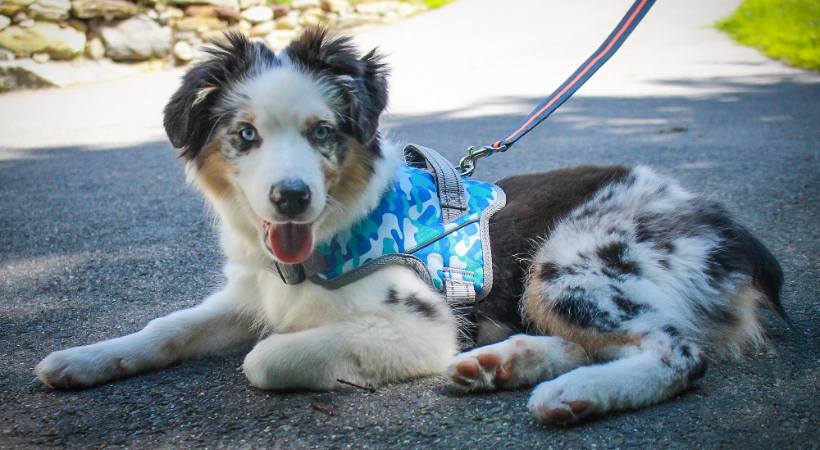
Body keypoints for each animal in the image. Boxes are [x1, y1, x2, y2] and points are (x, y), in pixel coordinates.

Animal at [35, 29, 784, 426]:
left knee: (678, 350)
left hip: (567, 263)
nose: (290, 198)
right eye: (244, 135)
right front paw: (84, 359)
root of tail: (728, 229)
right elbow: (168, 328)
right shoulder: (253, 292)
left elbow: (266, 358)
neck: (319, 246)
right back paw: (502, 364)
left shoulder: (424, 325)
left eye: (323, 132)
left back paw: (572, 394)